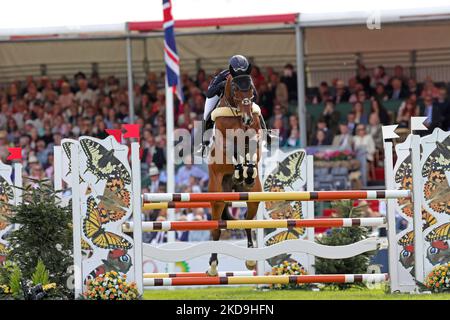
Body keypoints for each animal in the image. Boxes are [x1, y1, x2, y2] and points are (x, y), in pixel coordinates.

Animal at [206, 75, 262, 276]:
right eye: (236, 89)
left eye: (252, 89)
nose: (247, 119)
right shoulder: (225, 143)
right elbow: (234, 149)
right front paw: (240, 170)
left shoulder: (255, 137)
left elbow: (251, 153)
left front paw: (248, 173)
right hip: (217, 197)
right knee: (216, 229)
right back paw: (213, 266)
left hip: (254, 198)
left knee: (247, 221)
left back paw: (251, 259)